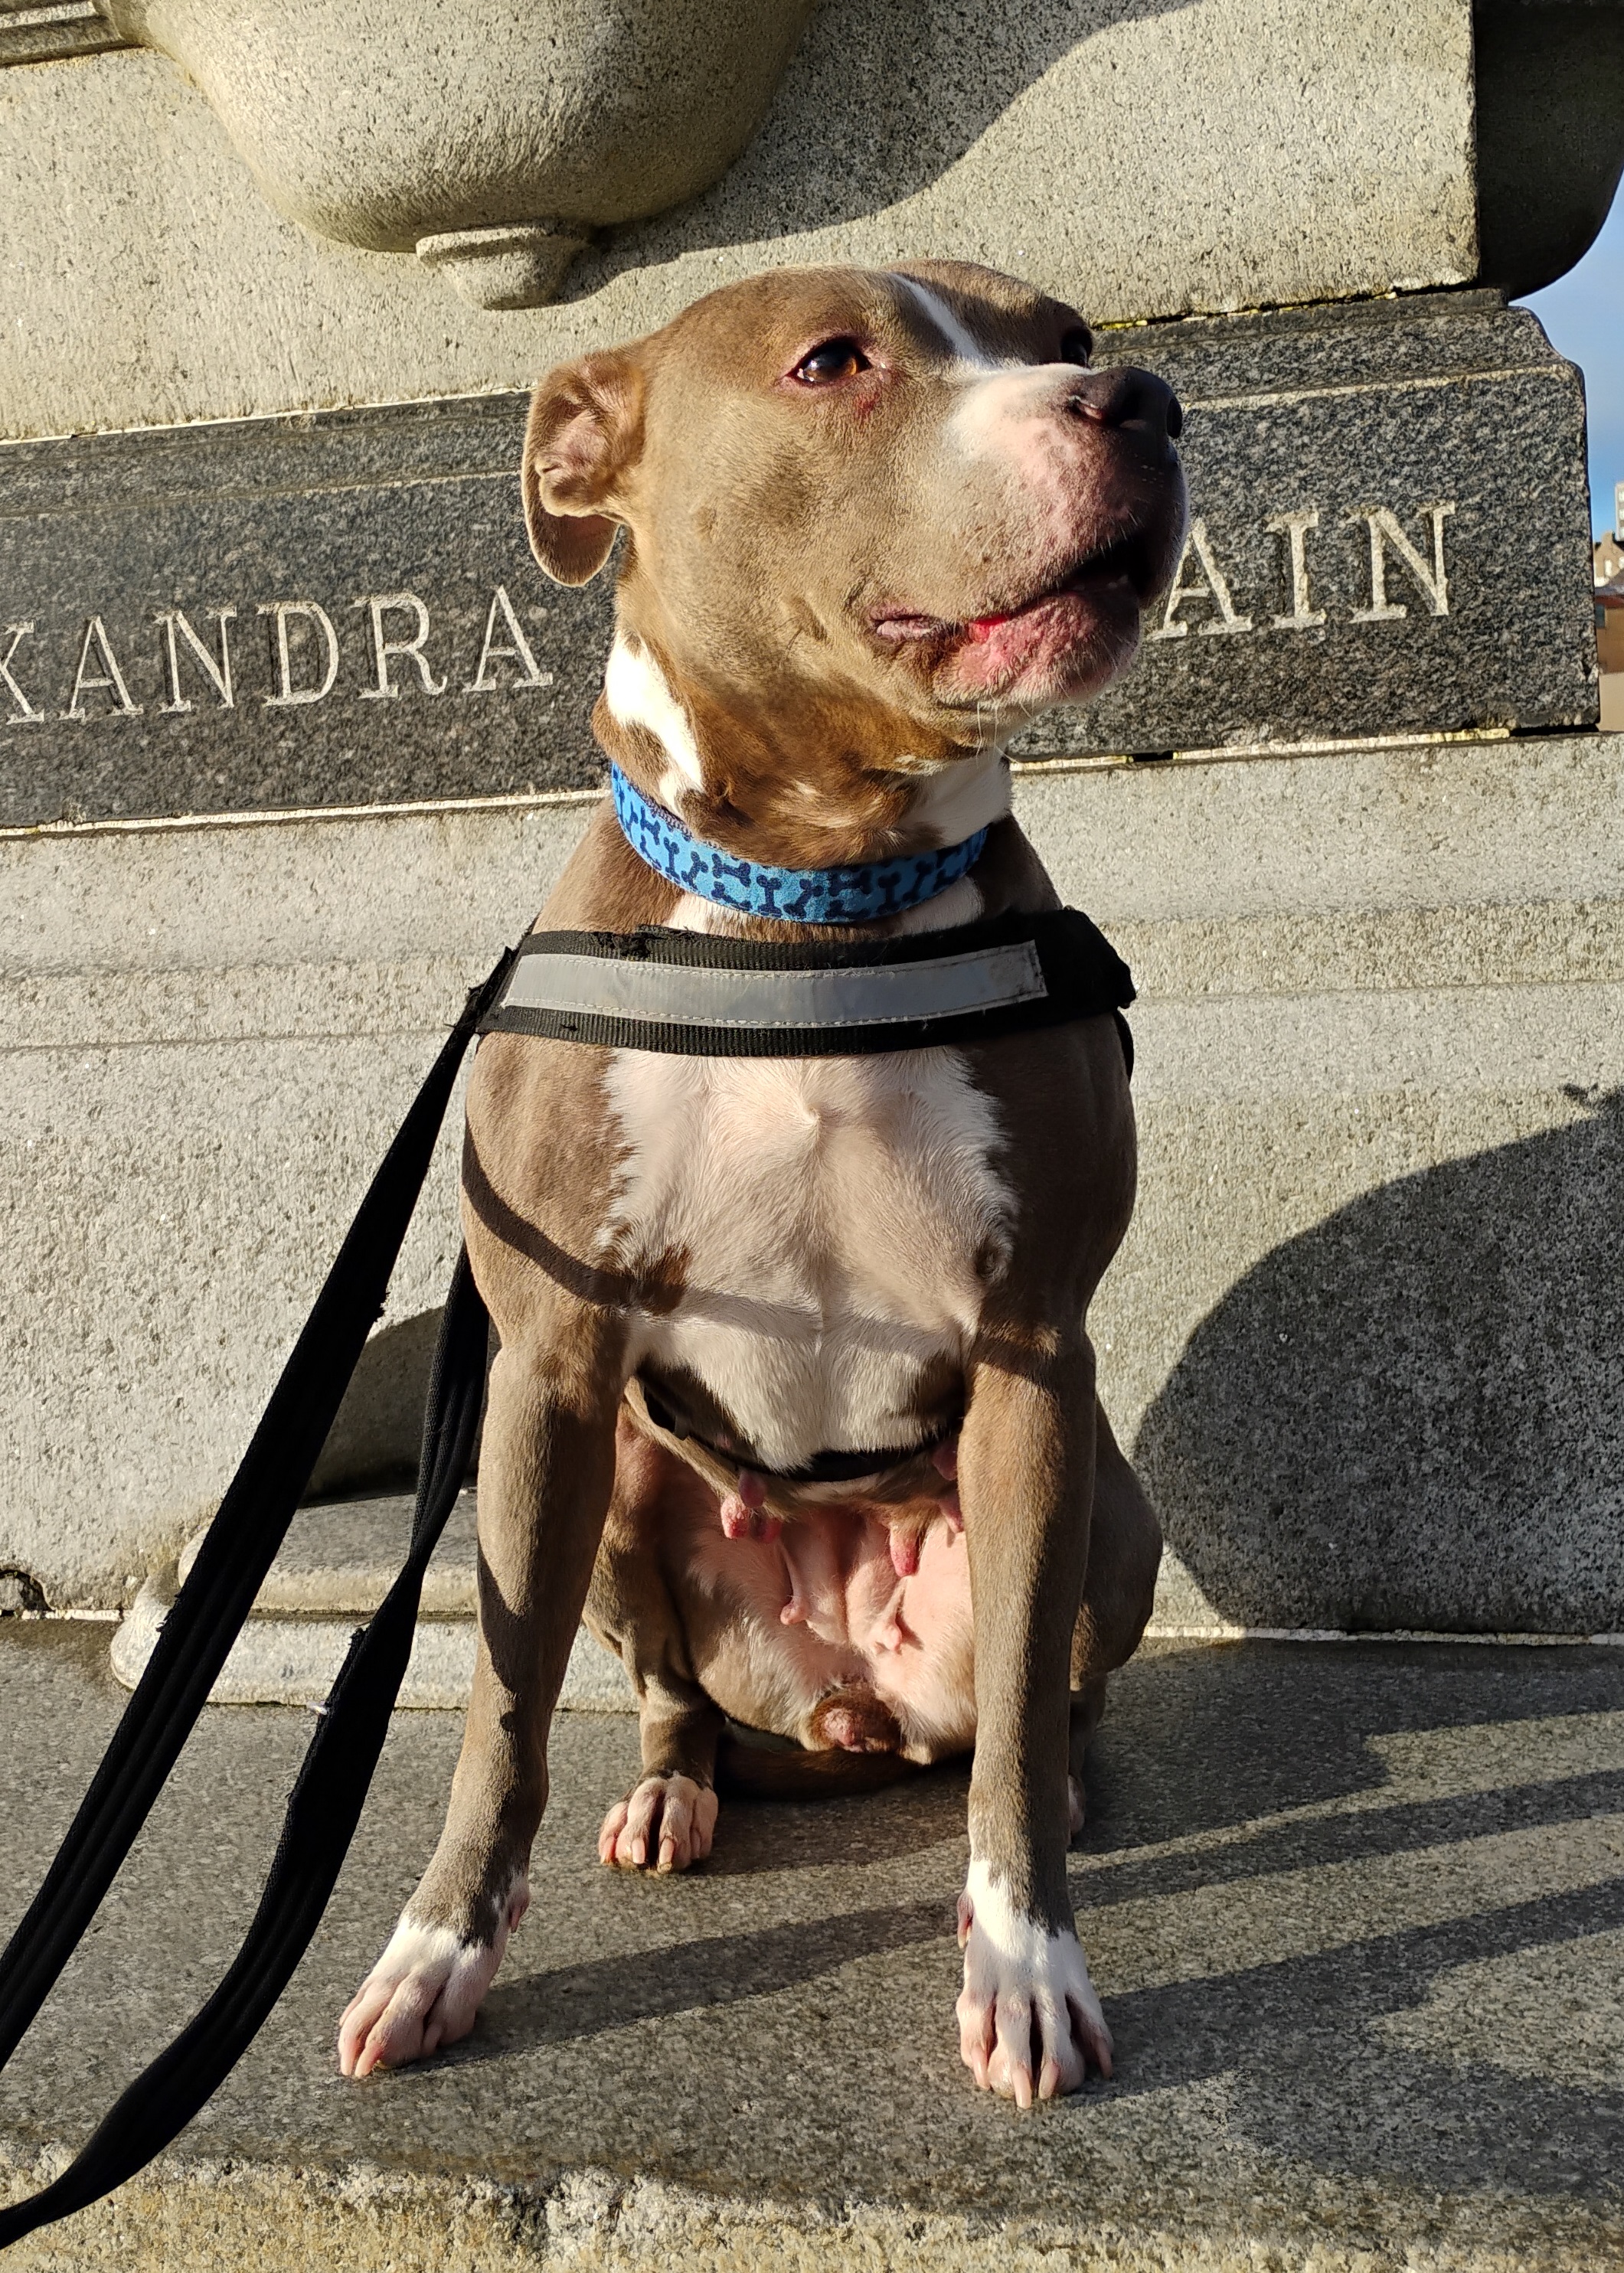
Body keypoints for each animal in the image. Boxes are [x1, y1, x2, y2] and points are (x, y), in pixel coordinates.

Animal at [334, 257, 1182, 2100]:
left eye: (1068, 338)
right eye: (831, 362)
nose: (1143, 400)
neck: (815, 897)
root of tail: (846, 1708)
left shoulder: (1034, 1355)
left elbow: (1018, 1719)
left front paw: (1026, 1960)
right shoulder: (549, 1373)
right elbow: (497, 1711)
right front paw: (436, 1949)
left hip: (1109, 1505)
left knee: (1039, 1703)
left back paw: (1073, 1787)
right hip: (616, 1508)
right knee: (671, 1698)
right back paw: (671, 1790)